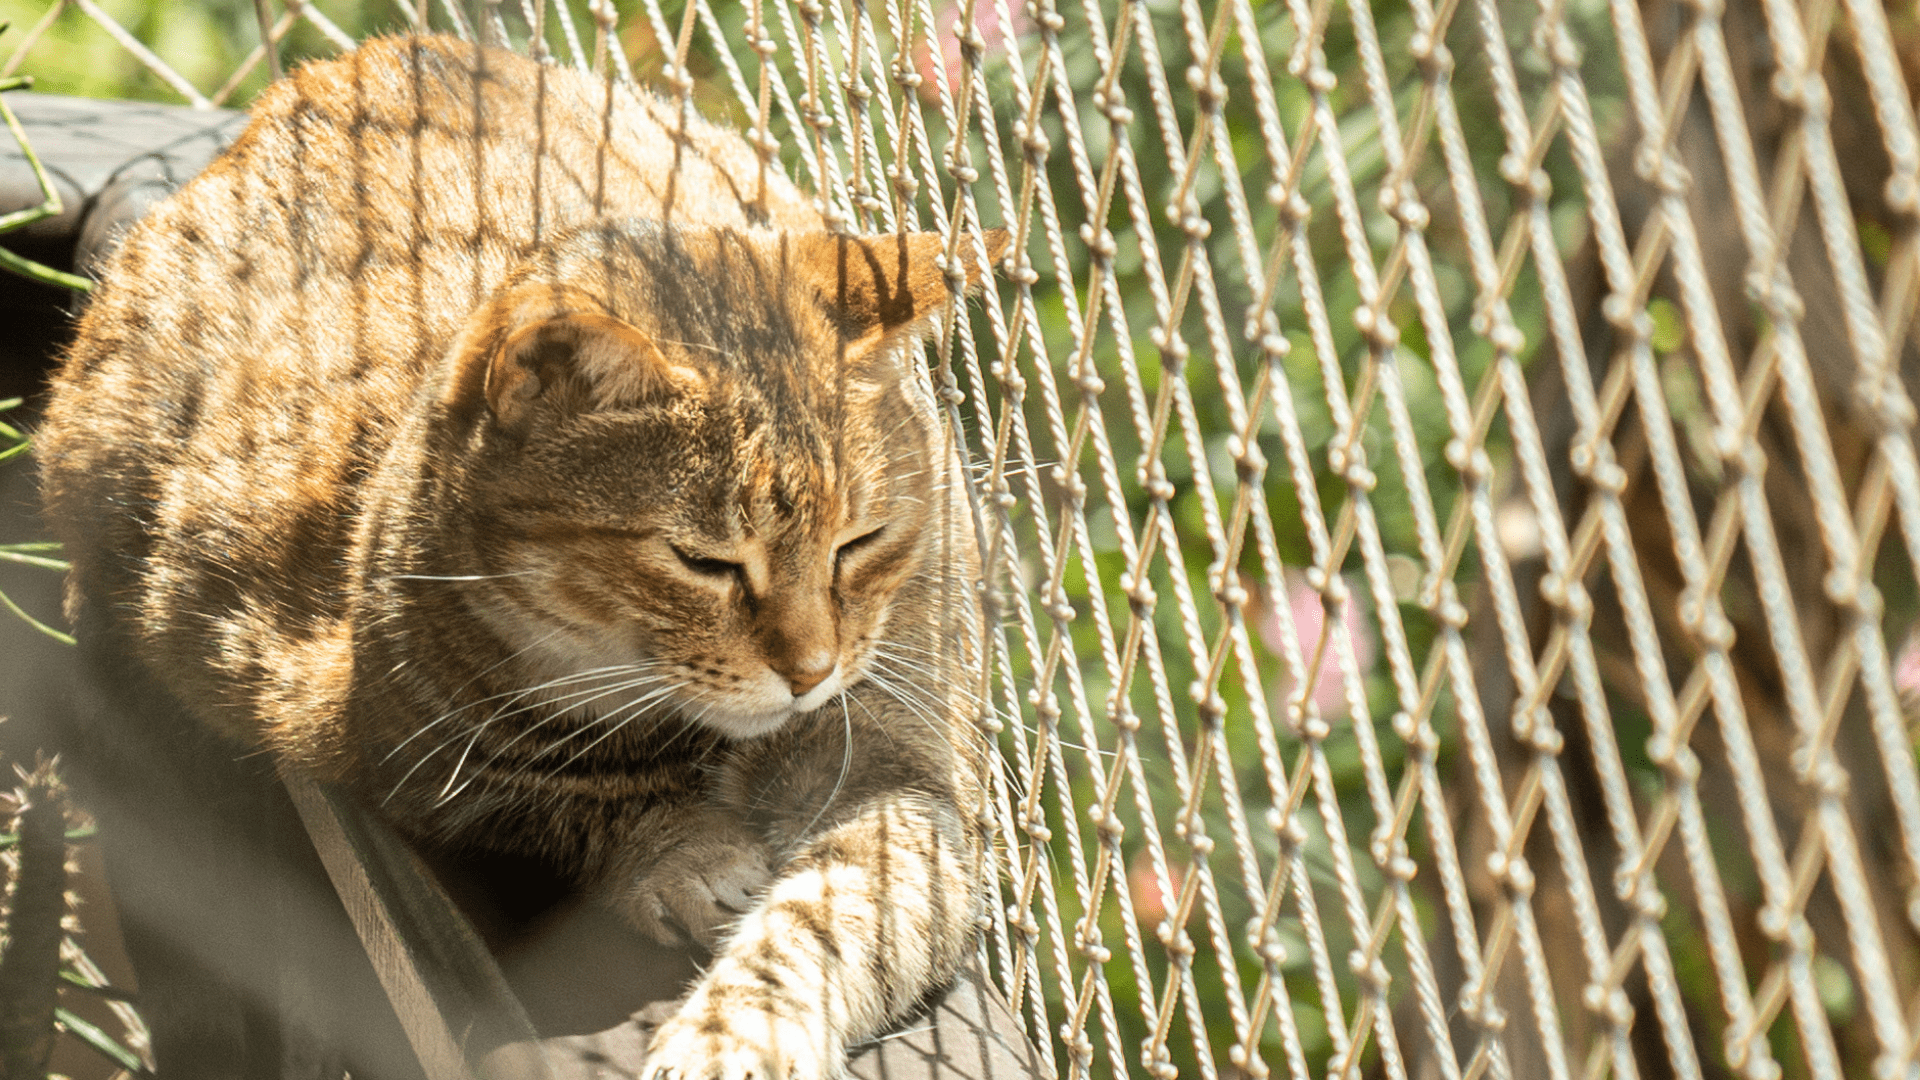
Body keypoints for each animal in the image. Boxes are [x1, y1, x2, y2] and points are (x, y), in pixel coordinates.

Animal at [33, 29, 1006, 1068]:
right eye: (703, 561)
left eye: (860, 542)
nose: (811, 671)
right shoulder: (388, 741)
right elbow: (571, 797)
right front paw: (686, 854)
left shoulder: (901, 771)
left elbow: (830, 916)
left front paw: (739, 1030)